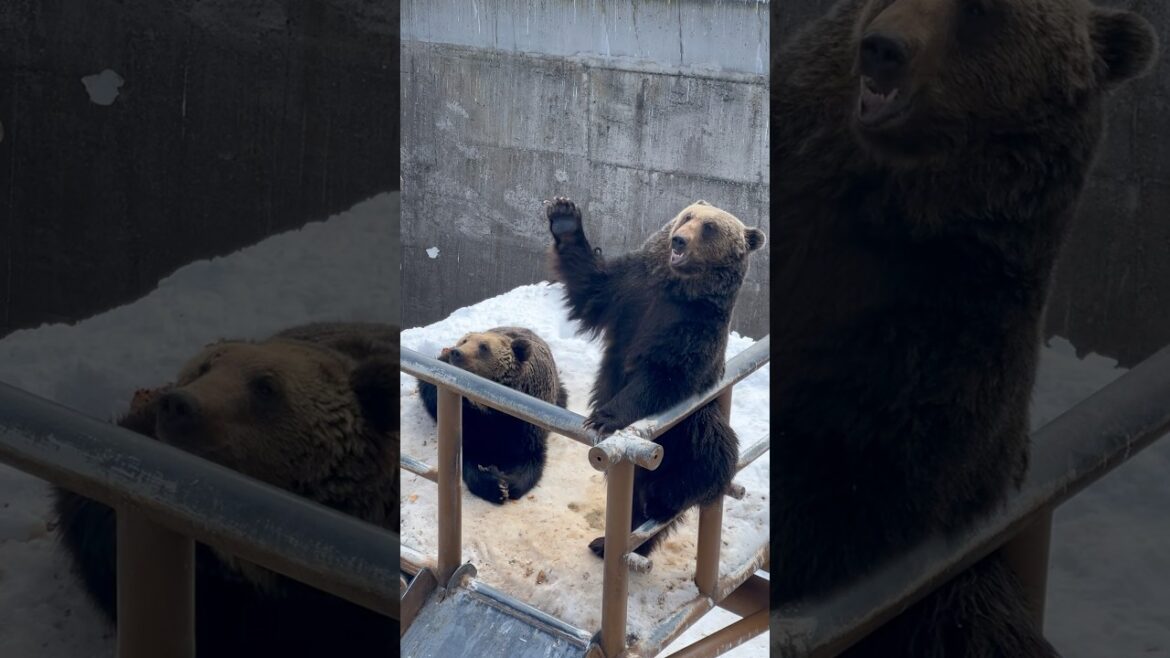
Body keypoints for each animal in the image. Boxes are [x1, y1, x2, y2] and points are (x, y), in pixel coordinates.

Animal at [416, 326, 567, 504]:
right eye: (464, 341)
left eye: (484, 347)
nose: (455, 352)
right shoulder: (471, 421)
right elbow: (469, 456)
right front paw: (494, 484)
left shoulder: (527, 423)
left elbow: (529, 459)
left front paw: (509, 484)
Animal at [544, 196, 766, 560]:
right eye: (687, 216)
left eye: (709, 227)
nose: (679, 241)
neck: (678, 288)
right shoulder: (631, 289)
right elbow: (590, 282)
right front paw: (564, 216)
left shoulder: (693, 328)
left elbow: (664, 375)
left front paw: (604, 417)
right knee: (635, 504)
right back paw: (608, 542)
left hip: (688, 427)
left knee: (713, 454)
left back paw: (668, 500)